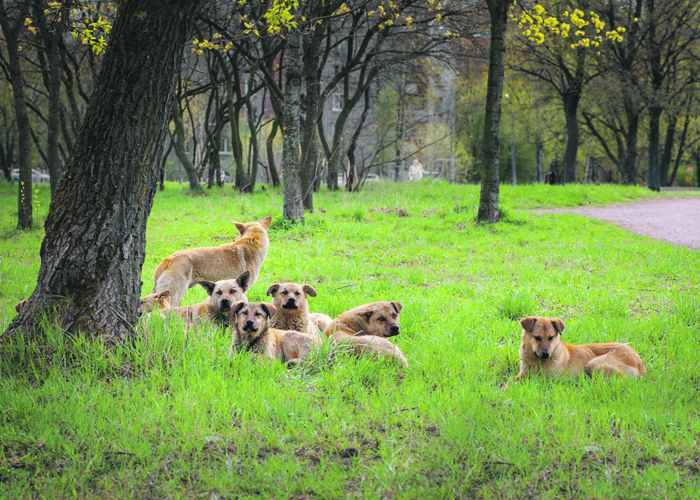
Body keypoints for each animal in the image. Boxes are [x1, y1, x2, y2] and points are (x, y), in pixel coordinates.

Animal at [506, 316, 648, 390]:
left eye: (551, 337)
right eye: (537, 338)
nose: (546, 354)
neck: (536, 360)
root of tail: (641, 366)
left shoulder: (546, 379)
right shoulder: (523, 373)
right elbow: (510, 379)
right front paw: (507, 388)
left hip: (595, 363)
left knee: (615, 382)